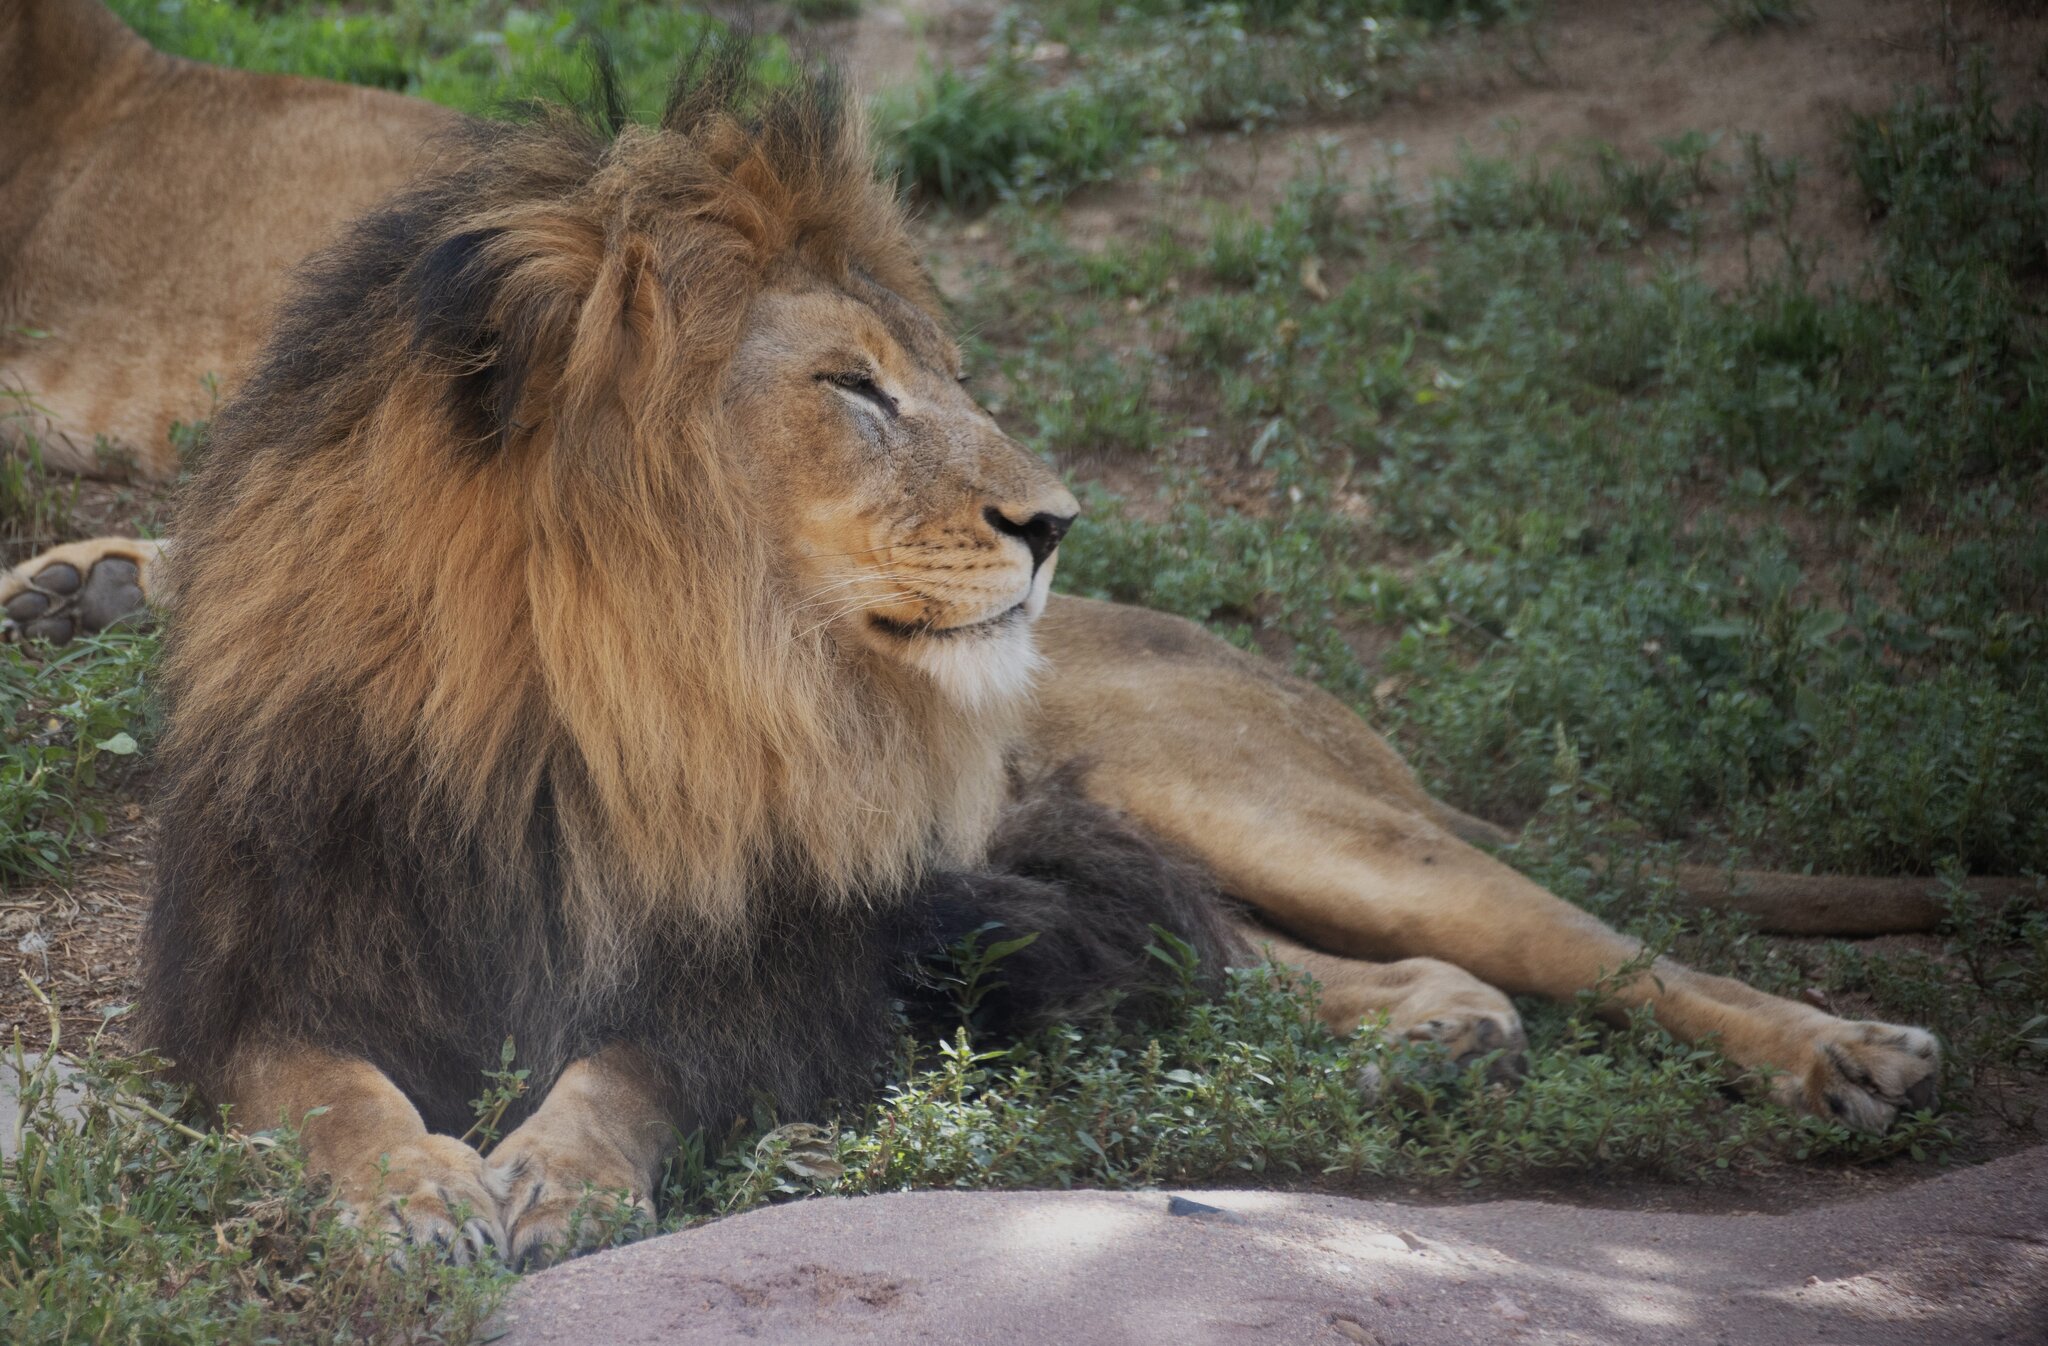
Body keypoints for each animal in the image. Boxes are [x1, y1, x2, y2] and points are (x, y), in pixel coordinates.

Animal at [4, 0, 1949, 1262]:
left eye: (935, 374)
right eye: (853, 389)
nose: (1057, 521)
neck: (580, 700)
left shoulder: (761, 980)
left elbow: (628, 1071)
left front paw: (556, 1177)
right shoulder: (263, 978)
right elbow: (334, 1097)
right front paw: (416, 1193)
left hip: (1272, 807)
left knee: (1610, 952)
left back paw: (1843, 1052)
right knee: (1283, 957)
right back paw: (1428, 1038)